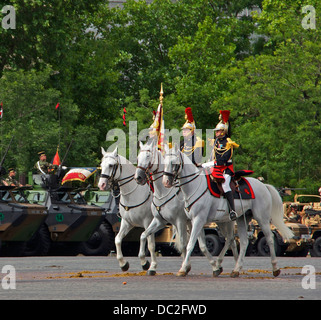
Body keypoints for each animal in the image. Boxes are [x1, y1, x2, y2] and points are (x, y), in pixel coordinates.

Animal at [98, 148, 157, 276]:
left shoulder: (148, 222)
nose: (101, 184)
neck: (133, 194)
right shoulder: (127, 223)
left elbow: (150, 244)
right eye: (101, 165)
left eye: (111, 165)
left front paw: (149, 265)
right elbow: (117, 240)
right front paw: (123, 264)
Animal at [162, 145, 292, 278]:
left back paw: (275, 268)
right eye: (164, 162)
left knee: (269, 238)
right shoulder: (195, 221)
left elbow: (190, 244)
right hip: (242, 219)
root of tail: (263, 185)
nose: (166, 182)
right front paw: (214, 267)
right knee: (243, 242)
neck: (194, 186)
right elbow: (201, 245)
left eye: (174, 163)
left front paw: (183, 269)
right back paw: (236, 269)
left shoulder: (199, 220)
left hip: (262, 218)